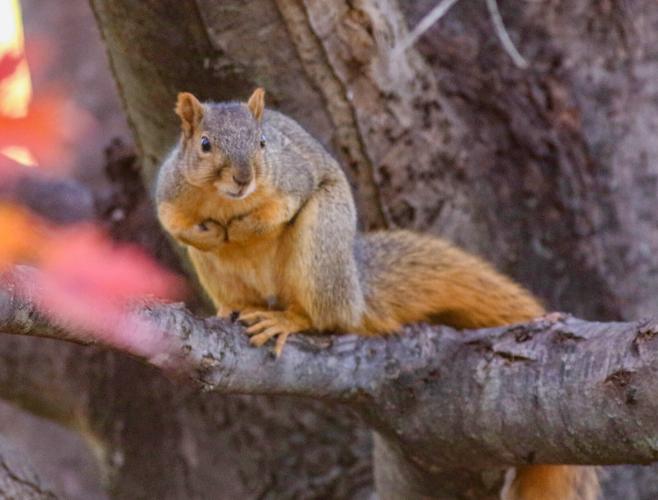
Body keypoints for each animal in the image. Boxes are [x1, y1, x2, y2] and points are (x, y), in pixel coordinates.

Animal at [156, 88, 598, 500]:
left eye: (262, 142)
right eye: (205, 144)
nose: (244, 178)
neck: (226, 202)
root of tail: (353, 289)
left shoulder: (292, 176)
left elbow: (282, 206)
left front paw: (247, 226)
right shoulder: (170, 189)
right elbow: (172, 221)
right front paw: (206, 233)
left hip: (321, 244)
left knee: (325, 317)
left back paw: (287, 318)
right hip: (217, 271)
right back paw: (234, 308)